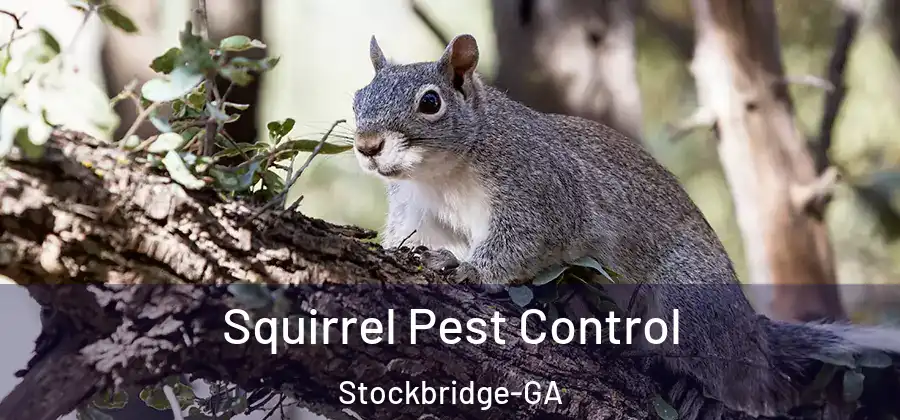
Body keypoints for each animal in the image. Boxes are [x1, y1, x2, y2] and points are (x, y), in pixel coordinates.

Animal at [350, 34, 900, 419]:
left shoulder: (542, 190)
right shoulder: (419, 210)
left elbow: (523, 241)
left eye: (430, 102)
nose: (367, 145)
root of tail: (750, 332)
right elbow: (410, 238)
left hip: (689, 301)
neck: (442, 173)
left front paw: (469, 269)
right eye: (358, 97)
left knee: (743, 382)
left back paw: (701, 391)